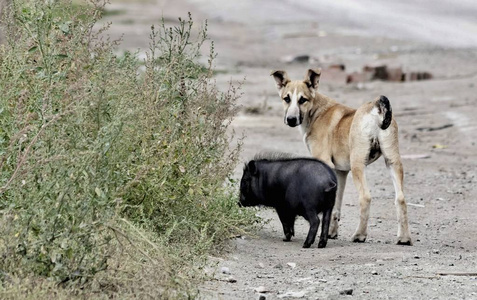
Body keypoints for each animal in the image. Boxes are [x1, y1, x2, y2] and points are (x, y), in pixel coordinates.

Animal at [270, 69, 410, 245]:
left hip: (358, 164)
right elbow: (336, 206)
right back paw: (404, 238)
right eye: (286, 99)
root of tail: (376, 107)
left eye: (303, 100)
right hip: (393, 162)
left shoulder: (325, 163)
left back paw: (360, 235)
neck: (316, 112)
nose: (291, 120)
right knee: (401, 199)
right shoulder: (340, 172)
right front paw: (331, 233)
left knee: (365, 197)